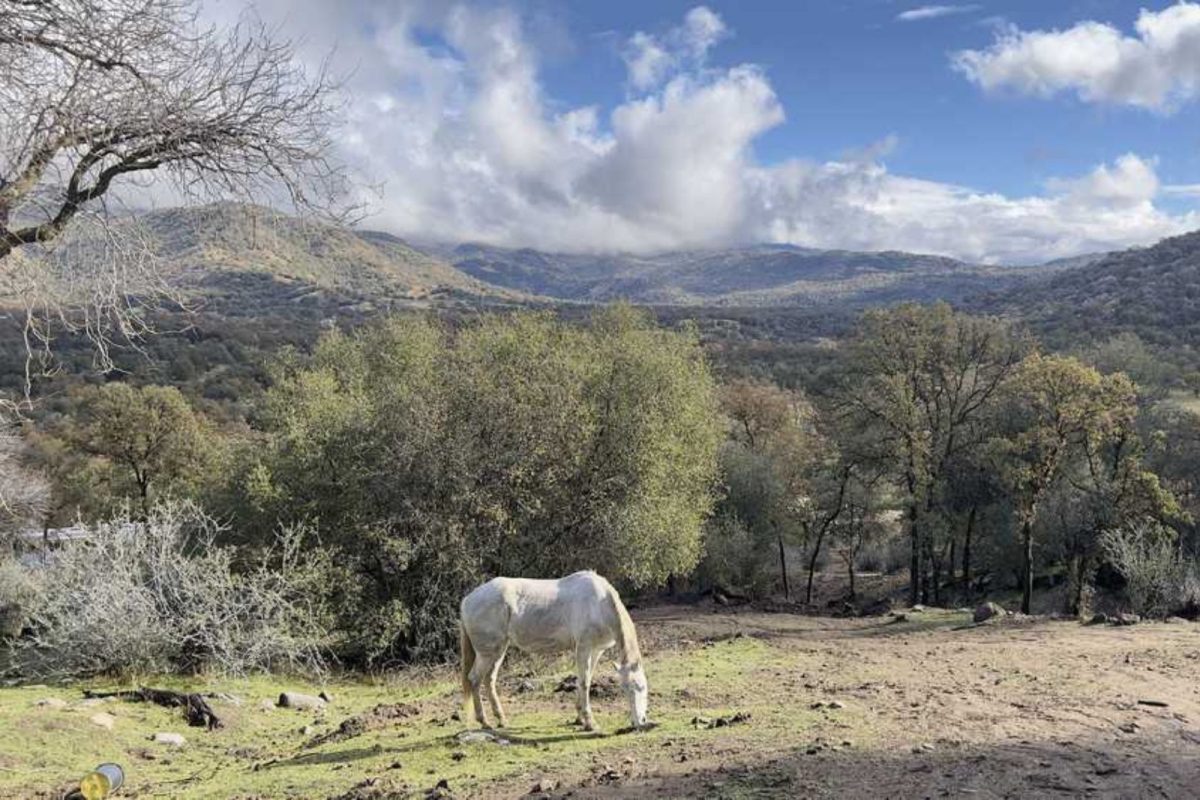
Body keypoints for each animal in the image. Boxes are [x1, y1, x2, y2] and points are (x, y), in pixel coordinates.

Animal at [456, 568, 648, 734]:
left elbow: (585, 679)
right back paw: (484, 721)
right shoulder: (583, 648)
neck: (599, 603)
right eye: (626, 689)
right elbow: (584, 682)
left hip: (498, 650)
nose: (639, 722)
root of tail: (467, 600)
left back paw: (501, 719)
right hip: (487, 653)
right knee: (474, 679)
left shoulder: (596, 650)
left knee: (489, 680)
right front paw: (590, 723)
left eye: (643, 687)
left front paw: (579, 718)